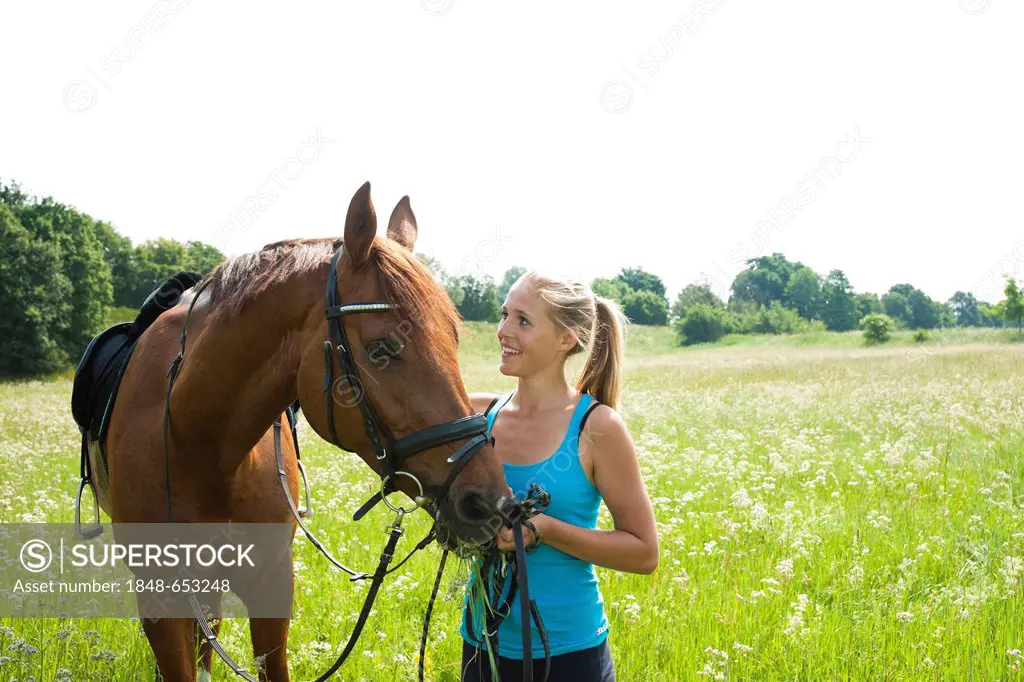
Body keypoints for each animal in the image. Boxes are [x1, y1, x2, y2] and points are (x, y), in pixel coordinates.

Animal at [86, 182, 509, 679]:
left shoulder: (272, 584)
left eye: (455, 341)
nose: (488, 502)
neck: (199, 443)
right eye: (382, 349)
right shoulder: (160, 596)